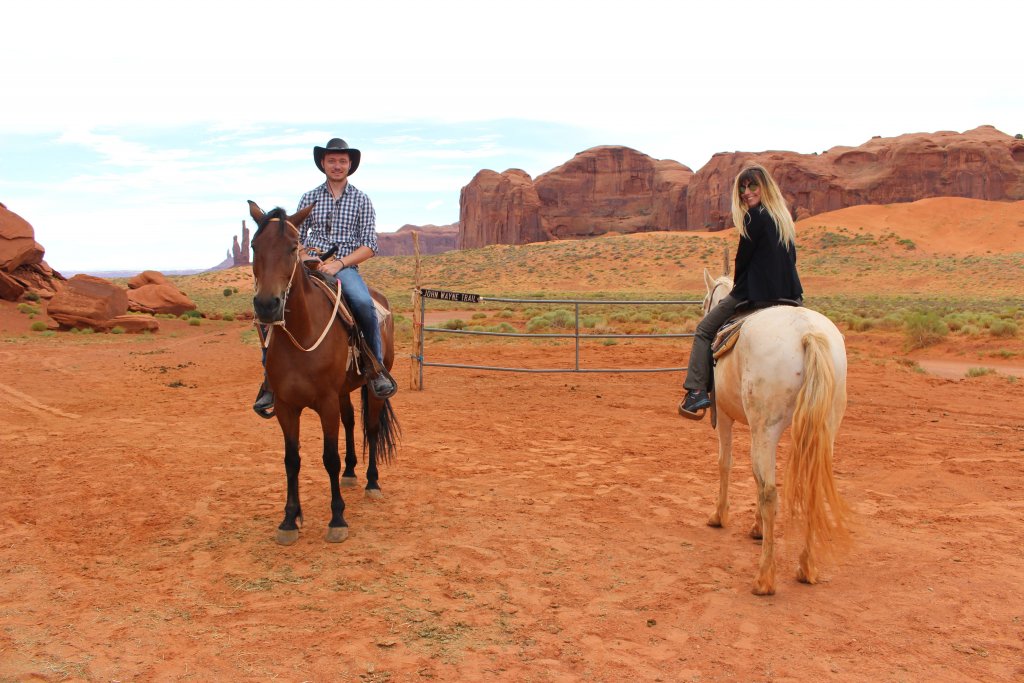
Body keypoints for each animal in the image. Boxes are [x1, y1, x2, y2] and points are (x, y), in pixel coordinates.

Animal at [247, 200, 399, 548]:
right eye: (253, 246)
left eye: (293, 247)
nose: (267, 305)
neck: (301, 335)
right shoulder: (286, 407)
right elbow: (291, 460)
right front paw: (289, 520)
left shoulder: (325, 401)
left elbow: (329, 457)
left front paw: (337, 519)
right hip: (343, 391)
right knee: (350, 422)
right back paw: (351, 473)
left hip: (372, 388)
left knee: (371, 428)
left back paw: (371, 482)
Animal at [700, 270, 851, 593]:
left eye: (705, 302)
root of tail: (808, 333)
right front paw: (757, 528)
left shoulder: (729, 419)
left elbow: (726, 464)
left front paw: (719, 516)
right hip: (823, 429)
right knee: (811, 486)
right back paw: (806, 567)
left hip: (767, 429)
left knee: (769, 491)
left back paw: (764, 578)